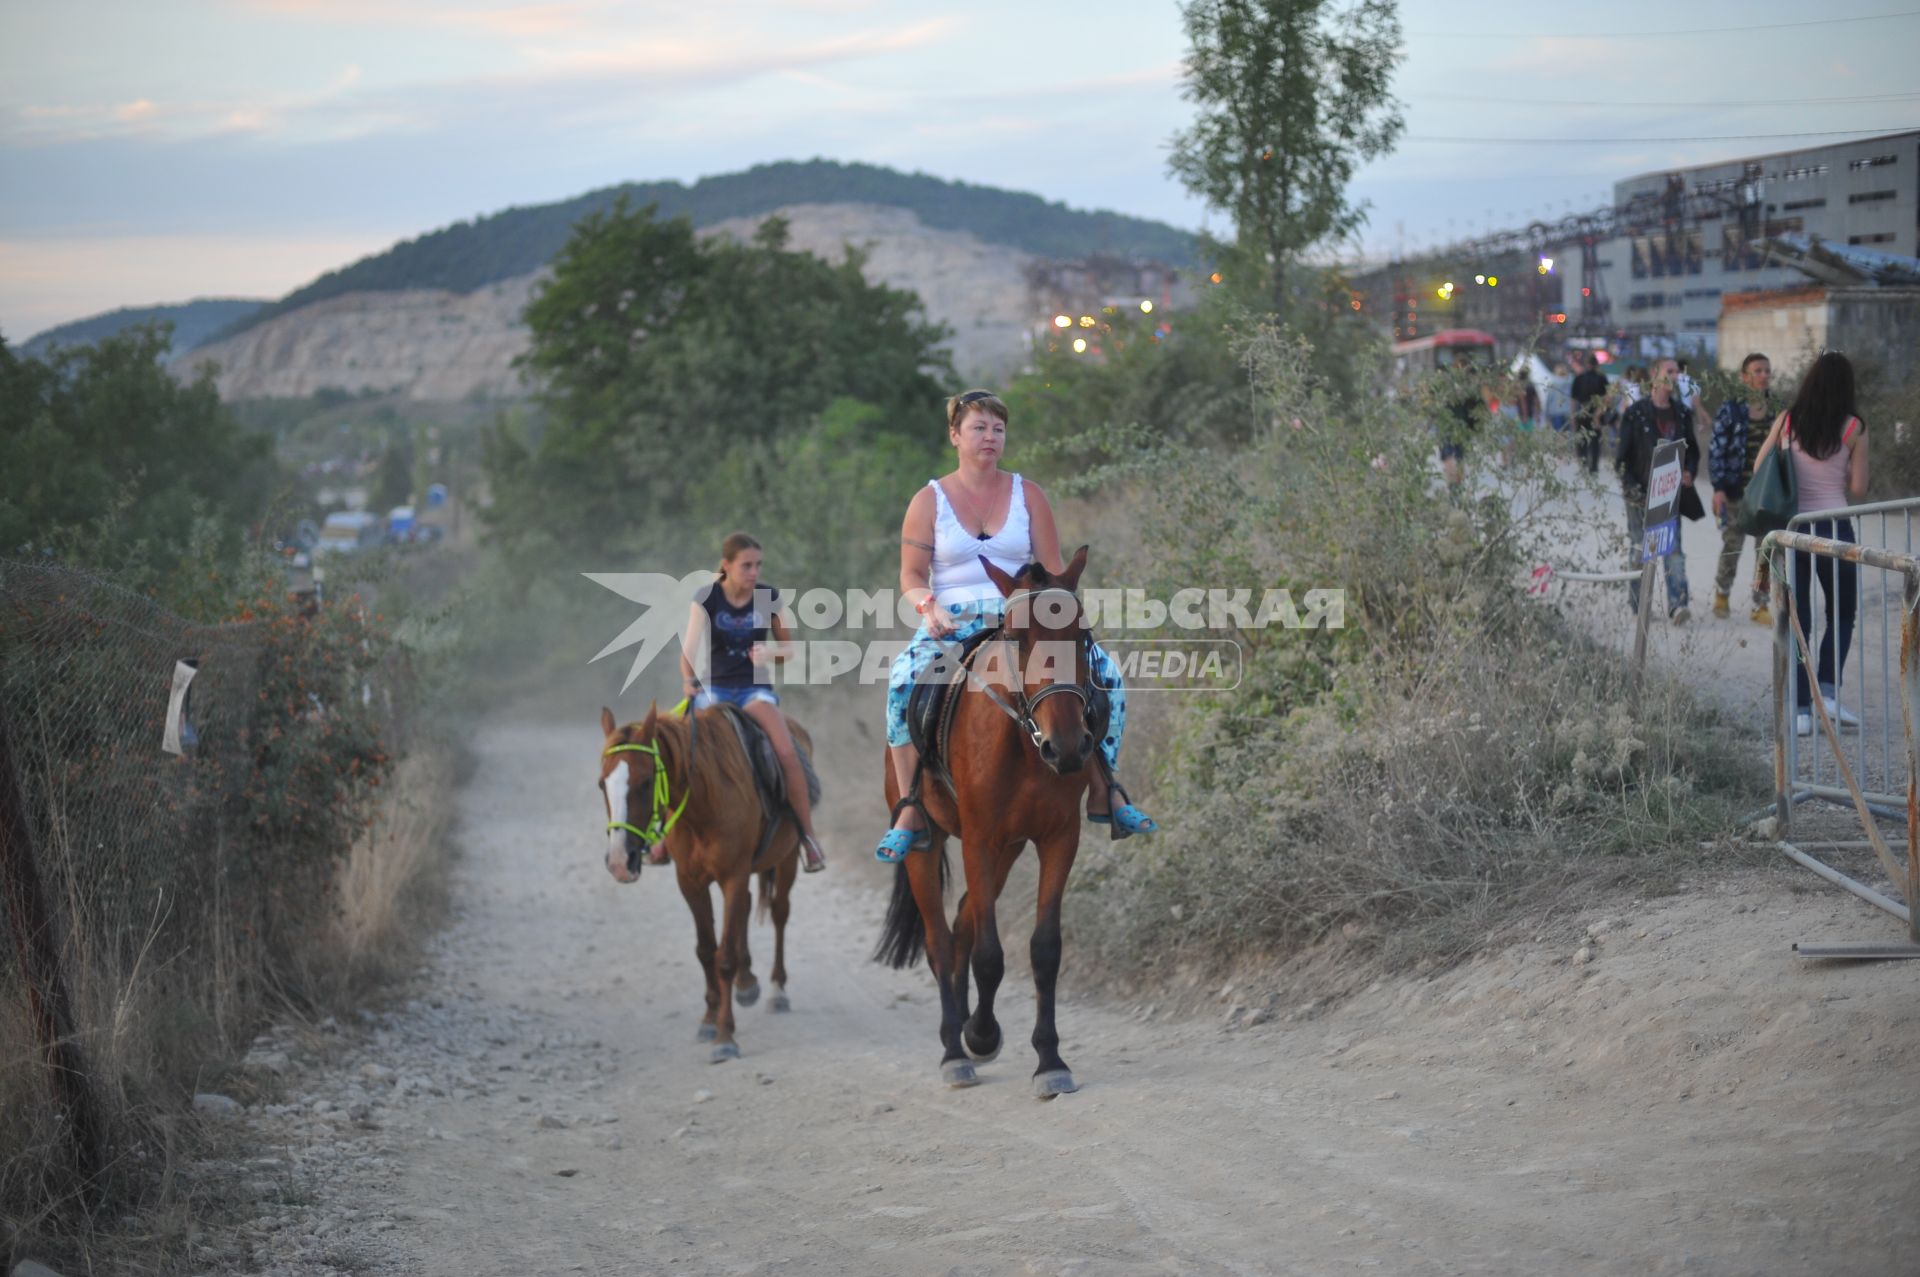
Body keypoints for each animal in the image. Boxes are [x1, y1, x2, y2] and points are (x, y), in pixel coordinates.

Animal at [599, 702, 810, 1060]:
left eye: (645, 782)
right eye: (602, 785)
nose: (619, 862)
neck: (702, 804)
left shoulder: (733, 876)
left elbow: (723, 958)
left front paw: (725, 1037)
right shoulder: (690, 881)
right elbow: (706, 950)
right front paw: (710, 1021)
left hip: (788, 857)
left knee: (780, 912)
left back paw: (776, 991)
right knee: (747, 910)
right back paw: (746, 983)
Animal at [871, 549, 1098, 1098]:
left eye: (1082, 635)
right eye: (1017, 638)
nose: (1067, 747)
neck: (1024, 742)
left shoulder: (1058, 839)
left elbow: (1044, 949)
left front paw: (1049, 1060)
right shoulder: (977, 839)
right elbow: (990, 955)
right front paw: (980, 1035)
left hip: (1008, 848)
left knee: (961, 926)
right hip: (928, 842)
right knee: (939, 940)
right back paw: (955, 1051)